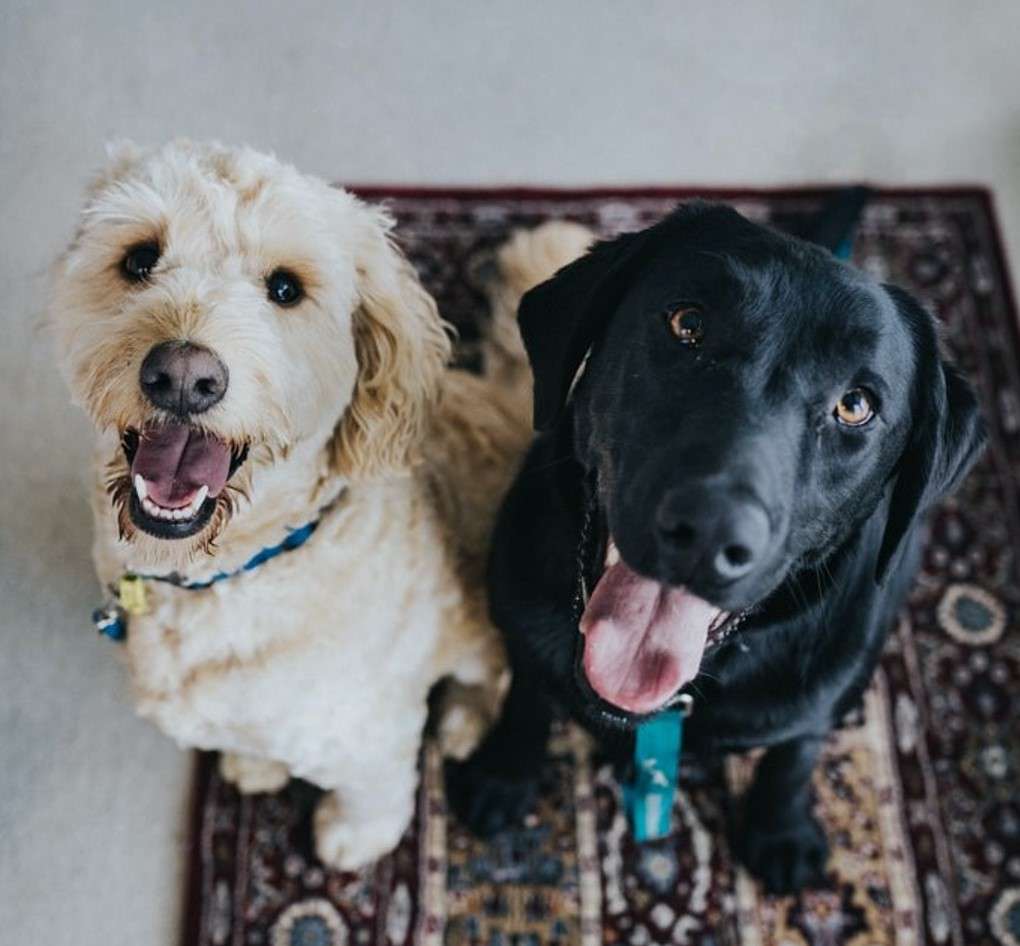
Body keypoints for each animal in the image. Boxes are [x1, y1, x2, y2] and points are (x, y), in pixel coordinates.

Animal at [51, 140, 591, 873]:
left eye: (285, 289)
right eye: (139, 258)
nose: (183, 377)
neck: (236, 569)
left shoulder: (369, 727)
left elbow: (373, 791)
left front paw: (352, 838)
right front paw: (255, 764)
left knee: (493, 673)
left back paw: (464, 720)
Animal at [448, 200, 987, 893]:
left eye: (856, 405)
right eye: (688, 324)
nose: (709, 532)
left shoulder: (813, 695)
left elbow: (795, 753)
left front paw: (781, 829)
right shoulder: (520, 617)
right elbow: (526, 695)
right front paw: (504, 772)